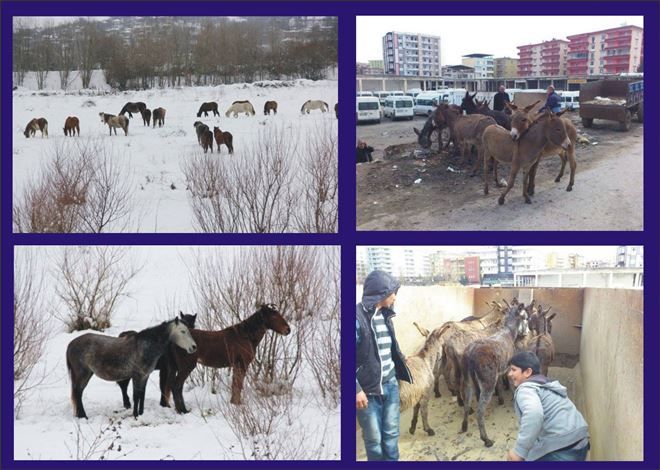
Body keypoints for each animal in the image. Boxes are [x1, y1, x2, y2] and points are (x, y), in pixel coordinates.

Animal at [65, 318, 197, 416]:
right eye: (183, 331)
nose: (194, 347)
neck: (146, 346)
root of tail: (71, 344)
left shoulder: (144, 376)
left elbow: (141, 395)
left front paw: (141, 413)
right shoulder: (137, 376)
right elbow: (136, 396)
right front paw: (135, 415)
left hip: (87, 374)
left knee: (78, 393)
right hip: (82, 374)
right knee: (77, 393)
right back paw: (83, 416)